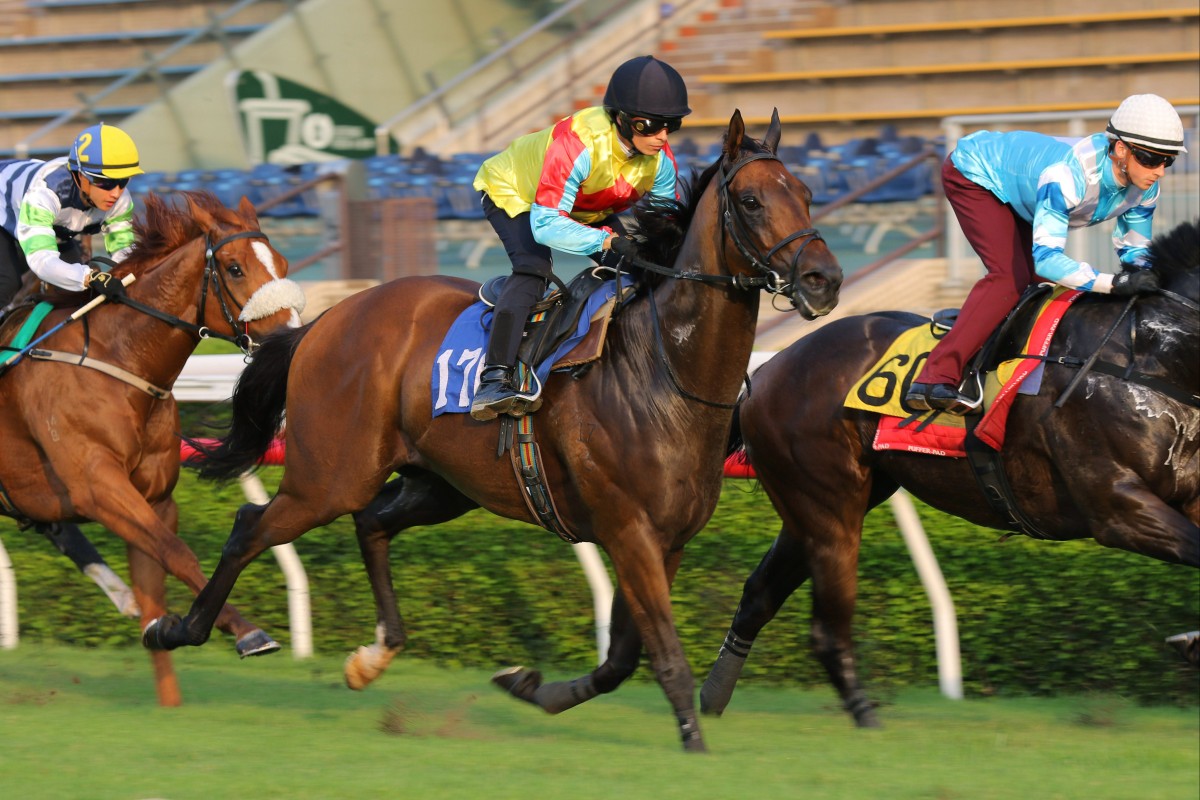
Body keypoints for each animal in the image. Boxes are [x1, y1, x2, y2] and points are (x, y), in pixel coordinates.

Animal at [0, 190, 307, 705]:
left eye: (282, 263)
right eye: (234, 268)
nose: (293, 338)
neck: (119, 357)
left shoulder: (153, 497)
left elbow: (155, 580)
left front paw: (165, 664)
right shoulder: (99, 486)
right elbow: (178, 554)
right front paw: (246, 632)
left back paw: (118, 594)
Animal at [145, 110, 844, 753]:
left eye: (807, 193)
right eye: (751, 201)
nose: (825, 280)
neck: (661, 372)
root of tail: (322, 322)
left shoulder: (664, 540)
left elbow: (622, 657)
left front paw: (532, 687)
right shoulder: (629, 530)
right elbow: (664, 655)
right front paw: (694, 744)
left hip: (442, 484)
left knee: (371, 523)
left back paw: (374, 655)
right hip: (331, 476)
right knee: (252, 529)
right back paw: (180, 630)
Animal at [700, 217, 1200, 724]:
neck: (1149, 357)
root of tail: (766, 371)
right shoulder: (1117, 508)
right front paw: (1190, 642)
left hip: (821, 504)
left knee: (759, 594)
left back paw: (711, 701)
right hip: (828, 506)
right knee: (824, 623)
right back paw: (862, 712)